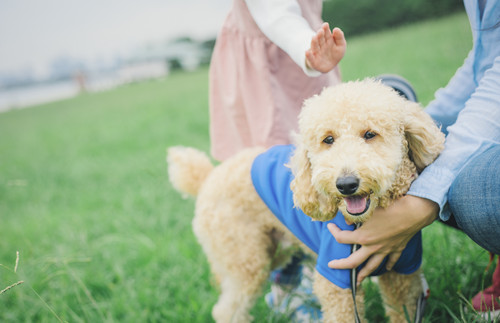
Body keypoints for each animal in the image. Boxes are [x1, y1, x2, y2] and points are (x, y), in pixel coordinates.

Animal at [166, 79, 444, 323]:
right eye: (328, 139)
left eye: (370, 134)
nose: (346, 184)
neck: (363, 221)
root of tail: (206, 177)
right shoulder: (336, 278)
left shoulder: (403, 271)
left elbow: (403, 311)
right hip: (245, 259)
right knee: (227, 310)